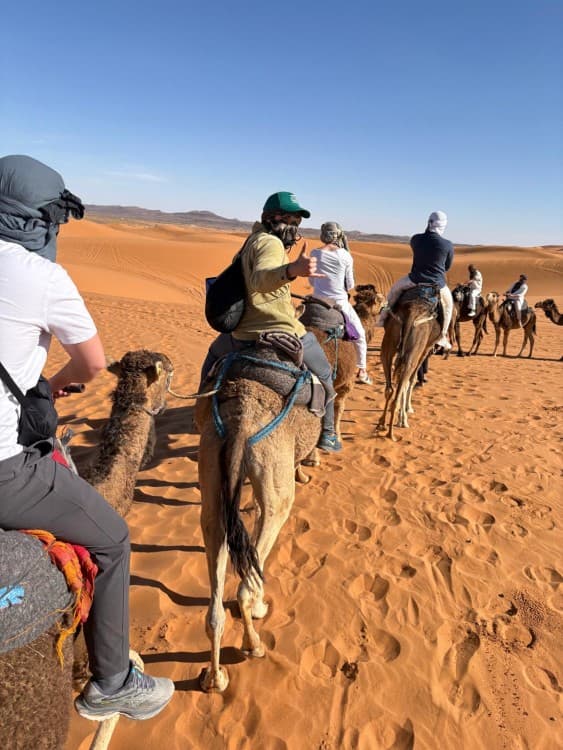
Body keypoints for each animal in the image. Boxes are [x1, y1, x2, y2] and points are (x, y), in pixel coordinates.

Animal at [376, 288, 441, 440]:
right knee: (406, 379)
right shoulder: (425, 350)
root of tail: (411, 312)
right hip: (416, 349)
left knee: (390, 388)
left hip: (389, 341)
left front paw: (402, 417)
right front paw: (405, 415)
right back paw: (391, 433)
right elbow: (412, 380)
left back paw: (382, 424)